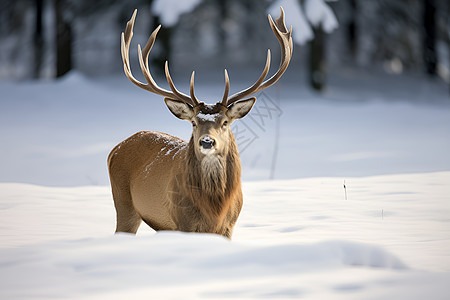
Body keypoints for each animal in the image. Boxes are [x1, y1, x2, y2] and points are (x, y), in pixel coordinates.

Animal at [108, 7, 292, 239]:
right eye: (194, 123)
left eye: (225, 122)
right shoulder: (182, 222)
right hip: (124, 203)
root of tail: (114, 150)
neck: (215, 209)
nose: (207, 142)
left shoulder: (229, 227)